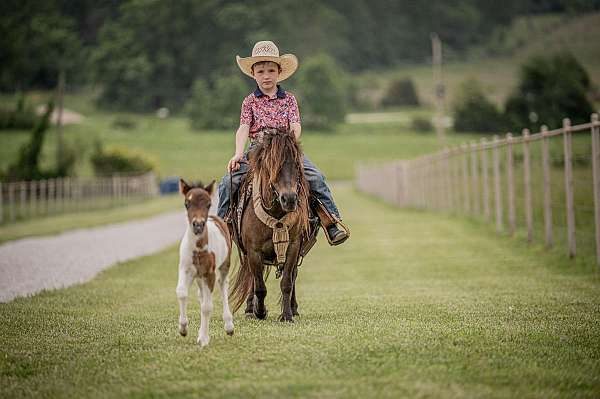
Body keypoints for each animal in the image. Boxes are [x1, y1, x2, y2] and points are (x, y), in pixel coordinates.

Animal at [176, 180, 234, 348]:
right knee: (200, 294)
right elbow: (181, 292)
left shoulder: (209, 274)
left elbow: (207, 307)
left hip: (223, 266)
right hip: (198, 277)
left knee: (223, 286)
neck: (198, 249)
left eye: (209, 204)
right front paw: (183, 328)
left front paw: (203, 338)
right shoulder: (185, 269)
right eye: (187, 203)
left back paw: (229, 326)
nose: (198, 225)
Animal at [231, 130, 310, 324]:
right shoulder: (253, 251)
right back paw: (250, 309)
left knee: (293, 275)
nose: (289, 199)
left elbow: (287, 282)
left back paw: (293, 308)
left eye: (296, 164)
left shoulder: (293, 247)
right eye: (272, 165)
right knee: (252, 278)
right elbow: (259, 286)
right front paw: (259, 312)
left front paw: (287, 315)